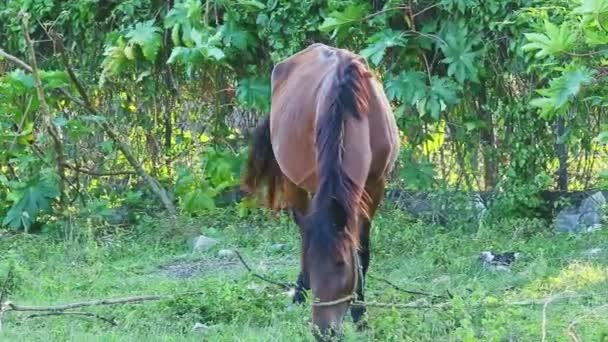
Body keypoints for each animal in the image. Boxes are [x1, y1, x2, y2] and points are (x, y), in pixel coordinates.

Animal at [242, 43, 400, 340]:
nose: (322, 331)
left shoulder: (376, 185)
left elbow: (363, 252)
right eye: (315, 267)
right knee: (303, 228)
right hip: (294, 182)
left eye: (341, 265)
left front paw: (360, 316)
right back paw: (298, 294)